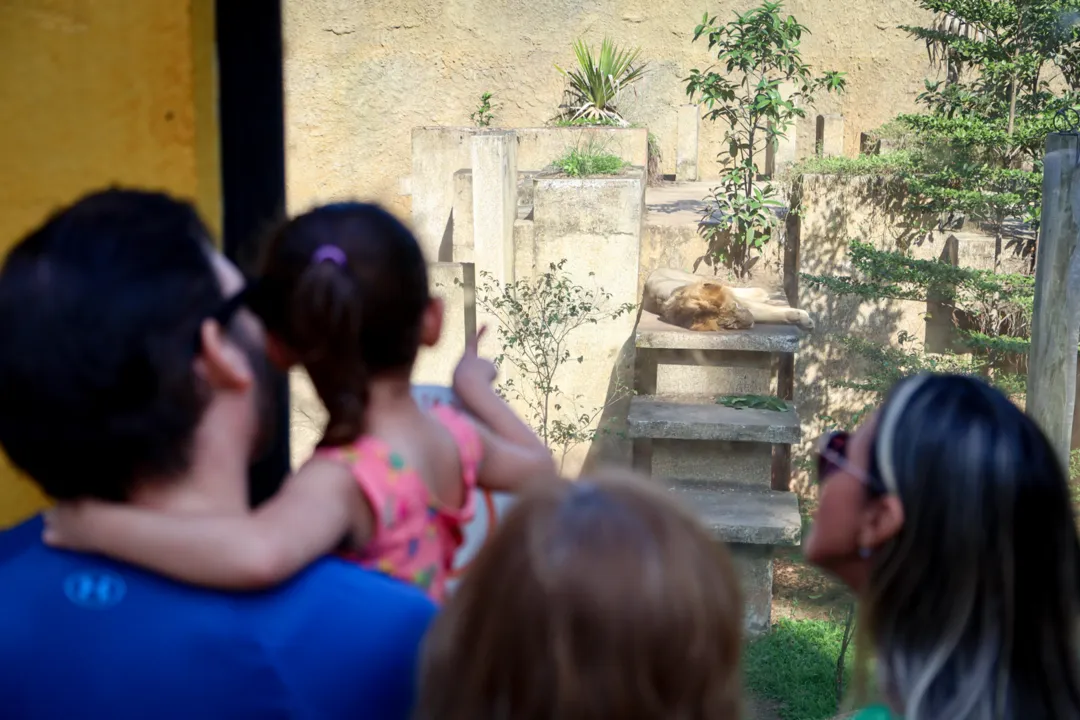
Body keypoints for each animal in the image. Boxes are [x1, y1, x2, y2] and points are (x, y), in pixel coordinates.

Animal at [639, 268, 812, 334]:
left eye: (734, 307)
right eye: (731, 324)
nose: (750, 322)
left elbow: (770, 310)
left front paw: (804, 317)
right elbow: (771, 313)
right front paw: (800, 318)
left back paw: (762, 293)